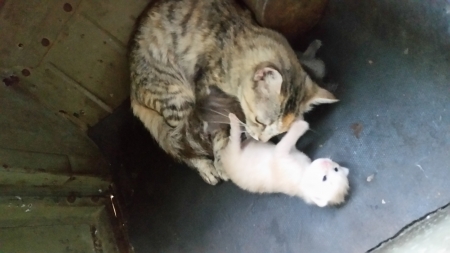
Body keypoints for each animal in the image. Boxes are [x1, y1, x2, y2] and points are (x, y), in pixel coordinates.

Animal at [128, 0, 336, 185]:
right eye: (260, 120)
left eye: (282, 130)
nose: (261, 139)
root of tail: (133, 91)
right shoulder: (205, 93)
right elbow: (219, 130)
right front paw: (222, 159)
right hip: (177, 96)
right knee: (178, 143)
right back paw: (206, 167)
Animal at [222, 113, 352, 208]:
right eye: (336, 168)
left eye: (324, 178)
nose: (327, 162)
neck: (303, 174)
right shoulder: (291, 151)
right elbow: (291, 141)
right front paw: (298, 118)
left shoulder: (280, 153)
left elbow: (289, 138)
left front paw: (301, 124)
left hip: (234, 152)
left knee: (234, 137)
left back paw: (234, 120)